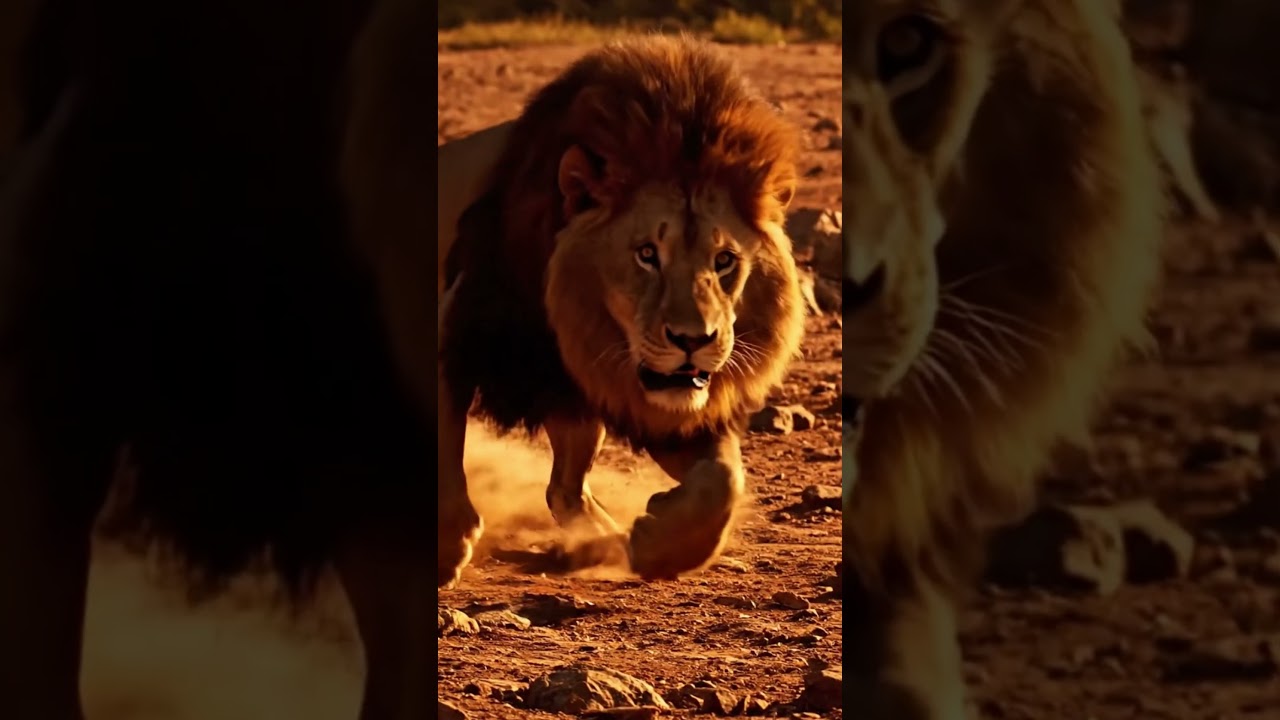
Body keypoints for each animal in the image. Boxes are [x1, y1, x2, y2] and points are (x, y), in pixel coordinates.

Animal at [360, 34, 808, 586]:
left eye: (724, 261)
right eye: (647, 254)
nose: (693, 341)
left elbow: (723, 481)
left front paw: (656, 543)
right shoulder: (455, 335)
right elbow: (443, 454)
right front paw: (447, 546)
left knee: (563, 490)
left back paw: (604, 541)